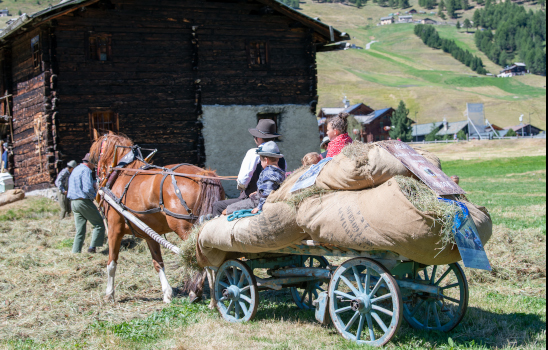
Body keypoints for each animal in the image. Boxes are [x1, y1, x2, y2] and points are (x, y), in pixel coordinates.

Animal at [90, 134, 223, 304]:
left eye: (95, 156)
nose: (97, 181)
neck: (121, 173)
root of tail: (205, 174)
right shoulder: (149, 234)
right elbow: (158, 263)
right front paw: (167, 293)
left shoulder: (114, 229)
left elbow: (111, 263)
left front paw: (109, 294)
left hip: (185, 229)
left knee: (197, 256)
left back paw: (198, 292)